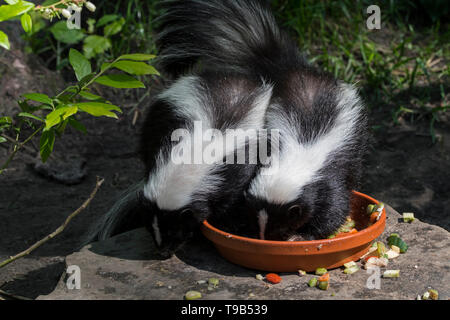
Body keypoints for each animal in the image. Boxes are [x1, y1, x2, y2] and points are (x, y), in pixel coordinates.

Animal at [156, 0, 368, 240]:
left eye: (282, 224)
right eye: (257, 219)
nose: (265, 237)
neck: (296, 157)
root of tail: (292, 69)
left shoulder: (327, 177)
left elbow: (333, 208)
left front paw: (306, 235)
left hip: (356, 139)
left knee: (353, 171)